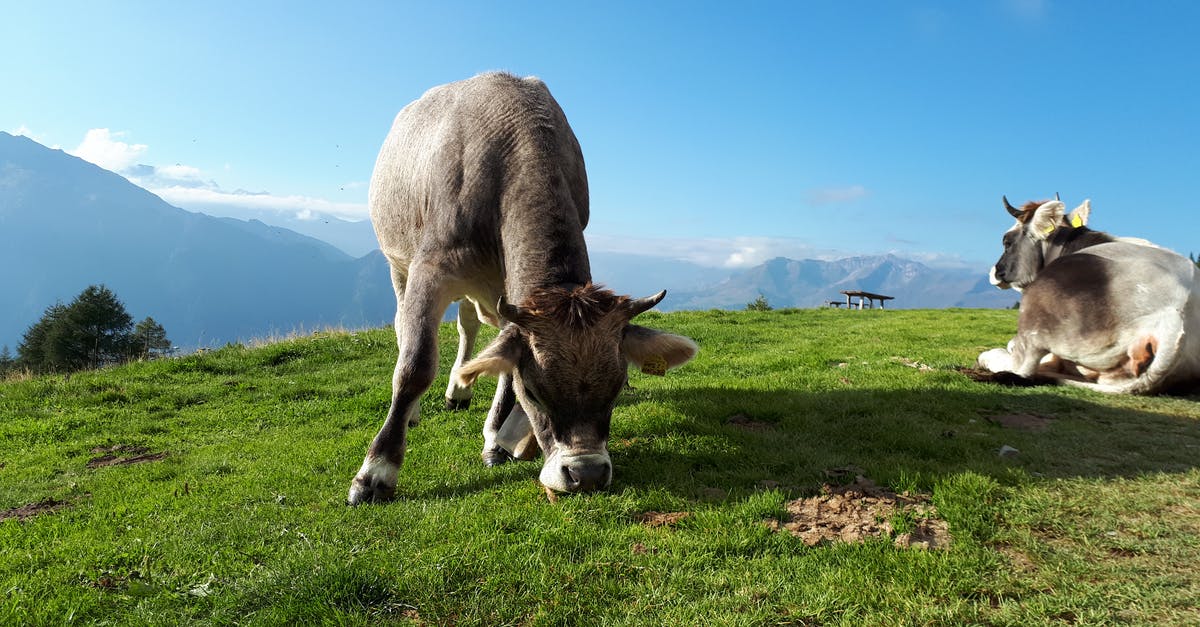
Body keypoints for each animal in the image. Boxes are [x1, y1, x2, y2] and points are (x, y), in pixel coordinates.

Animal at [347, 73, 699, 504]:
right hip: (398, 262)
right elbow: (415, 366)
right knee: (404, 327)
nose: (586, 474)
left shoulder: (511, 294)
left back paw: (460, 391)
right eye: (534, 392)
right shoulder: (431, 267)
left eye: (618, 387)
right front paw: (375, 473)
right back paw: (413, 413)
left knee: (468, 327)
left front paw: (495, 440)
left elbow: (502, 361)